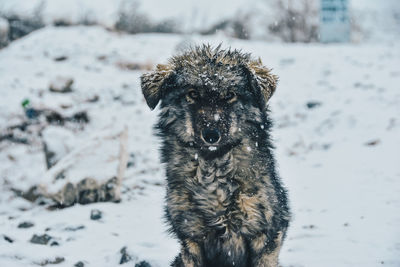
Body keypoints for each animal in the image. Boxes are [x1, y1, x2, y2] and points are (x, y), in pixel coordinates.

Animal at [141, 45, 290, 266]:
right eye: (192, 93)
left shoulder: (264, 237)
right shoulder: (190, 238)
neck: (213, 169)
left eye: (230, 94)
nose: (211, 135)